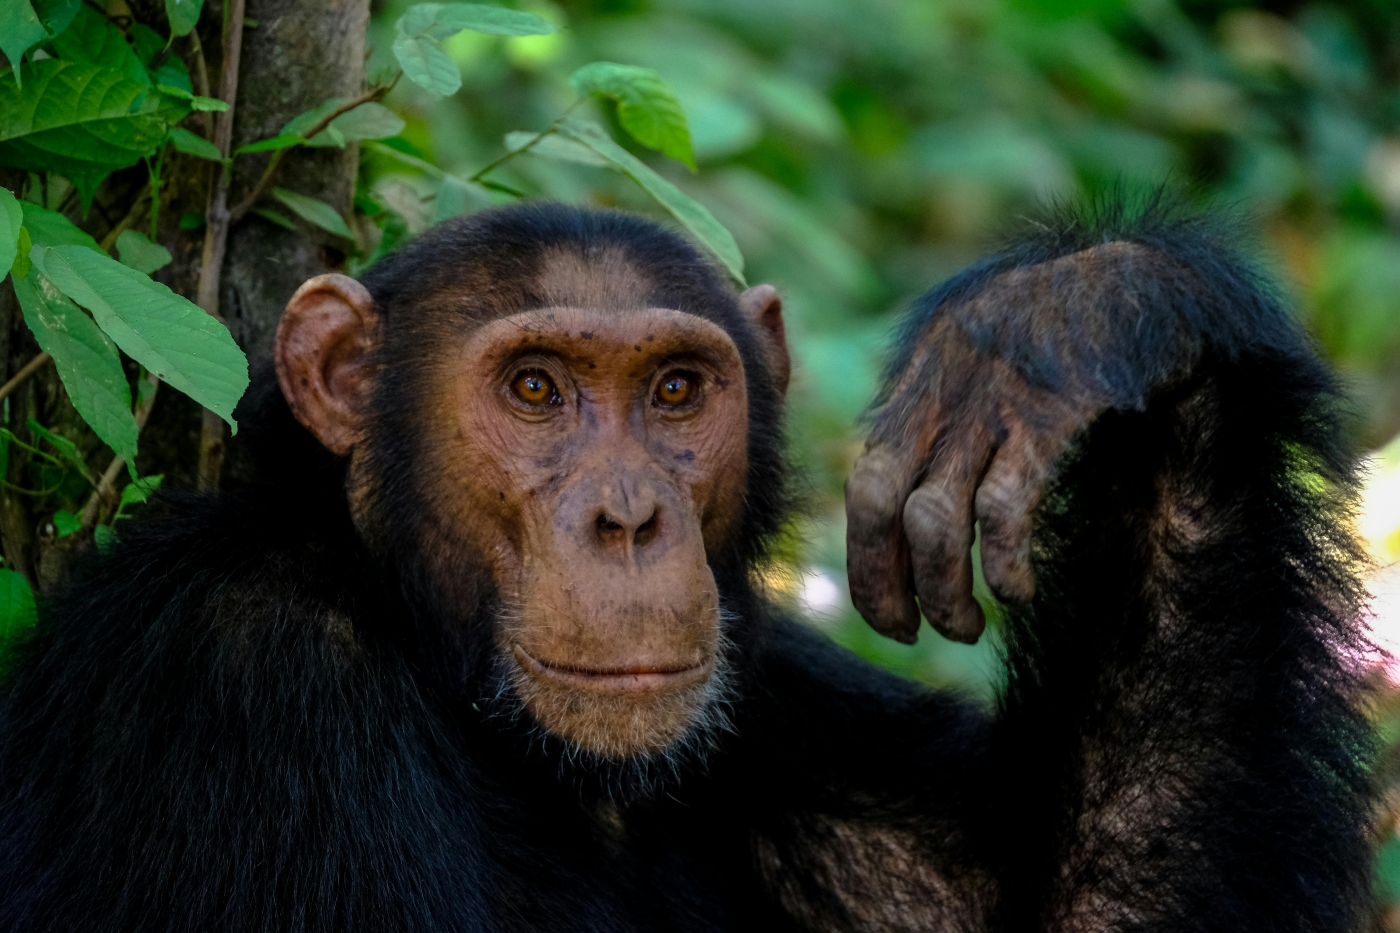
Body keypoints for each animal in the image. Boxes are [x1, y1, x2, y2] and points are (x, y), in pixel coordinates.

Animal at [0, 194, 1366, 924]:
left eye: (673, 391)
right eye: (535, 390)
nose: (628, 517)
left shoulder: (781, 708)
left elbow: (1092, 909)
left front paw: (1077, 318)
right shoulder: (245, 681)